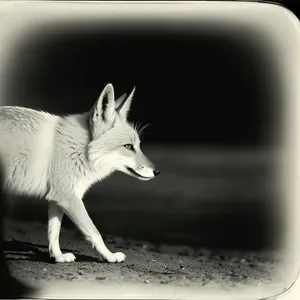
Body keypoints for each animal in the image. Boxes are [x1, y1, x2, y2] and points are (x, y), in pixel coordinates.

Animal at [0, 83, 159, 264]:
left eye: (138, 146)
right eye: (128, 147)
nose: (157, 171)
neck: (80, 149)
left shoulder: (57, 197)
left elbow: (54, 232)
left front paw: (58, 256)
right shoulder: (68, 197)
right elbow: (95, 232)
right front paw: (109, 256)